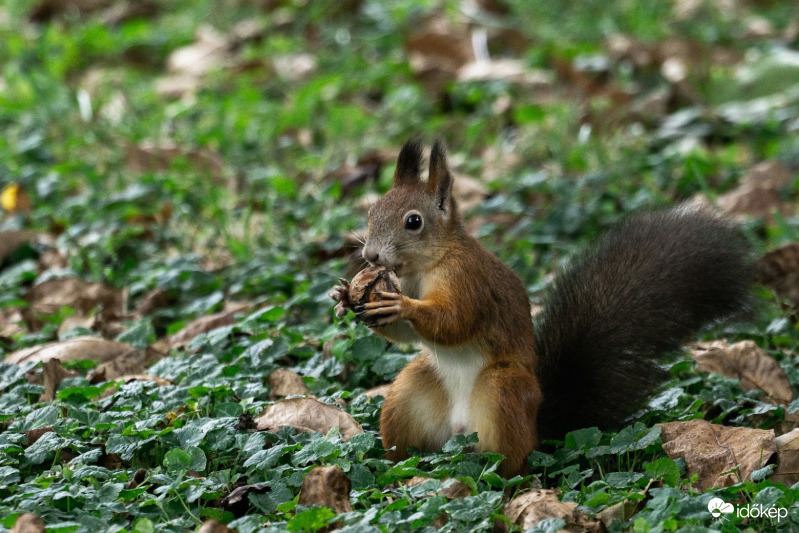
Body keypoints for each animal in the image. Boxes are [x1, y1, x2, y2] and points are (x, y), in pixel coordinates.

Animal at [328, 139, 752, 476]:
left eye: (413, 222)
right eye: (371, 213)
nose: (370, 255)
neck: (426, 266)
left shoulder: (468, 282)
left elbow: (454, 321)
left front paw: (401, 305)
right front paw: (346, 296)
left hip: (503, 390)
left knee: (511, 464)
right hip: (409, 394)